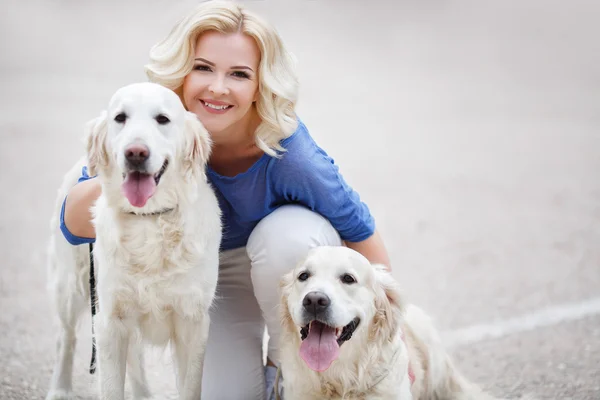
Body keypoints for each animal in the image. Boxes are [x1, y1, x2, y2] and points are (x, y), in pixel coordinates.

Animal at [45, 82, 220, 400]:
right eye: (120, 118)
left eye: (162, 119)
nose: (135, 152)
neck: (149, 218)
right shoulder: (110, 320)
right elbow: (111, 385)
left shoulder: (192, 321)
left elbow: (189, 387)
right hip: (71, 284)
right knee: (65, 338)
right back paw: (60, 389)